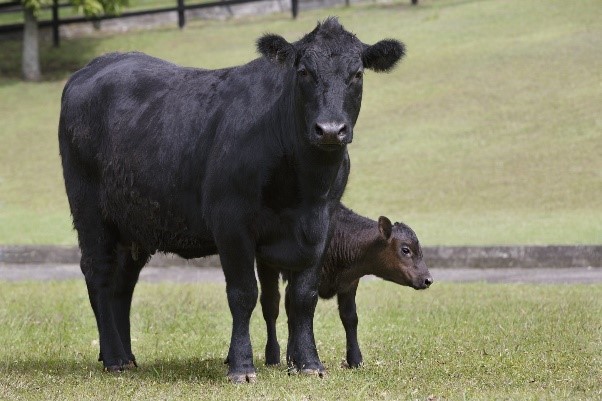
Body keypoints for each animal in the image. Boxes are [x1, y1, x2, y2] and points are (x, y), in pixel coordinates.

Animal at [58, 18, 404, 382]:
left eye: (357, 74)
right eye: (304, 71)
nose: (330, 129)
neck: (303, 186)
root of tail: (97, 65)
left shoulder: (322, 223)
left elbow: (302, 297)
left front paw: (309, 363)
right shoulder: (230, 222)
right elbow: (243, 293)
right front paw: (241, 366)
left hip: (134, 222)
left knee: (123, 283)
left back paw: (126, 356)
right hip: (89, 211)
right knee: (98, 274)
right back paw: (113, 356)